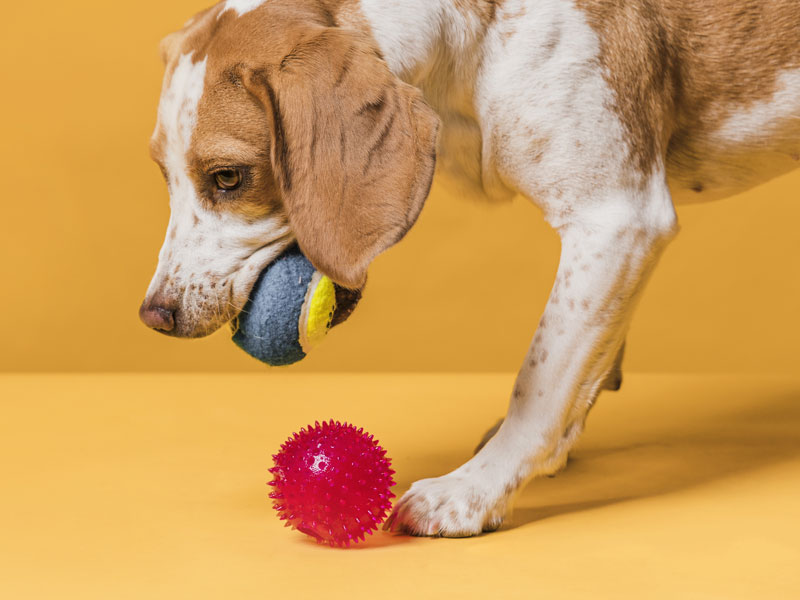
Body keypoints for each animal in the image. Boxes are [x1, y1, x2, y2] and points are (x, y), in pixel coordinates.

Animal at [141, 0, 800, 536]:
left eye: (229, 178)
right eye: (165, 175)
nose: (155, 316)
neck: (473, 42)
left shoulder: (616, 218)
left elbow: (540, 380)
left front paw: (475, 490)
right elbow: (584, 365)